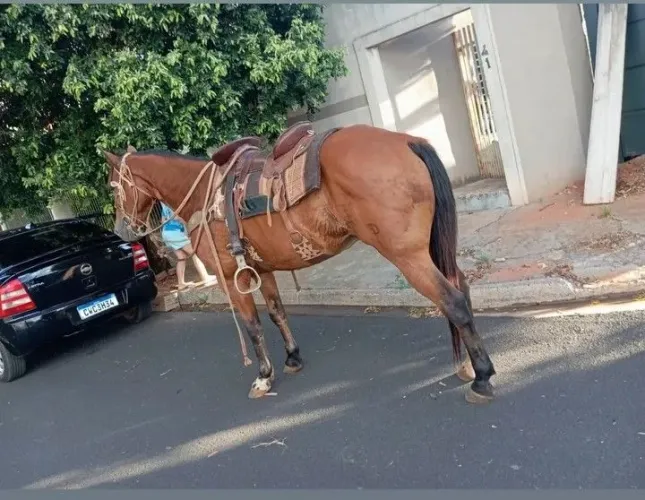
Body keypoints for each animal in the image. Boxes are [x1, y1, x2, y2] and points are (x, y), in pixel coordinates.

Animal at [104, 123, 496, 404]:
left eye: (113, 187)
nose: (121, 230)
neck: (204, 196)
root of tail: (408, 141)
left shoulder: (233, 278)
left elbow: (253, 326)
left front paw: (264, 376)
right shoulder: (261, 270)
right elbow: (278, 313)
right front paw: (292, 358)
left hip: (407, 256)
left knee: (453, 301)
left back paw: (481, 377)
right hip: (430, 248)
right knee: (461, 287)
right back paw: (466, 364)